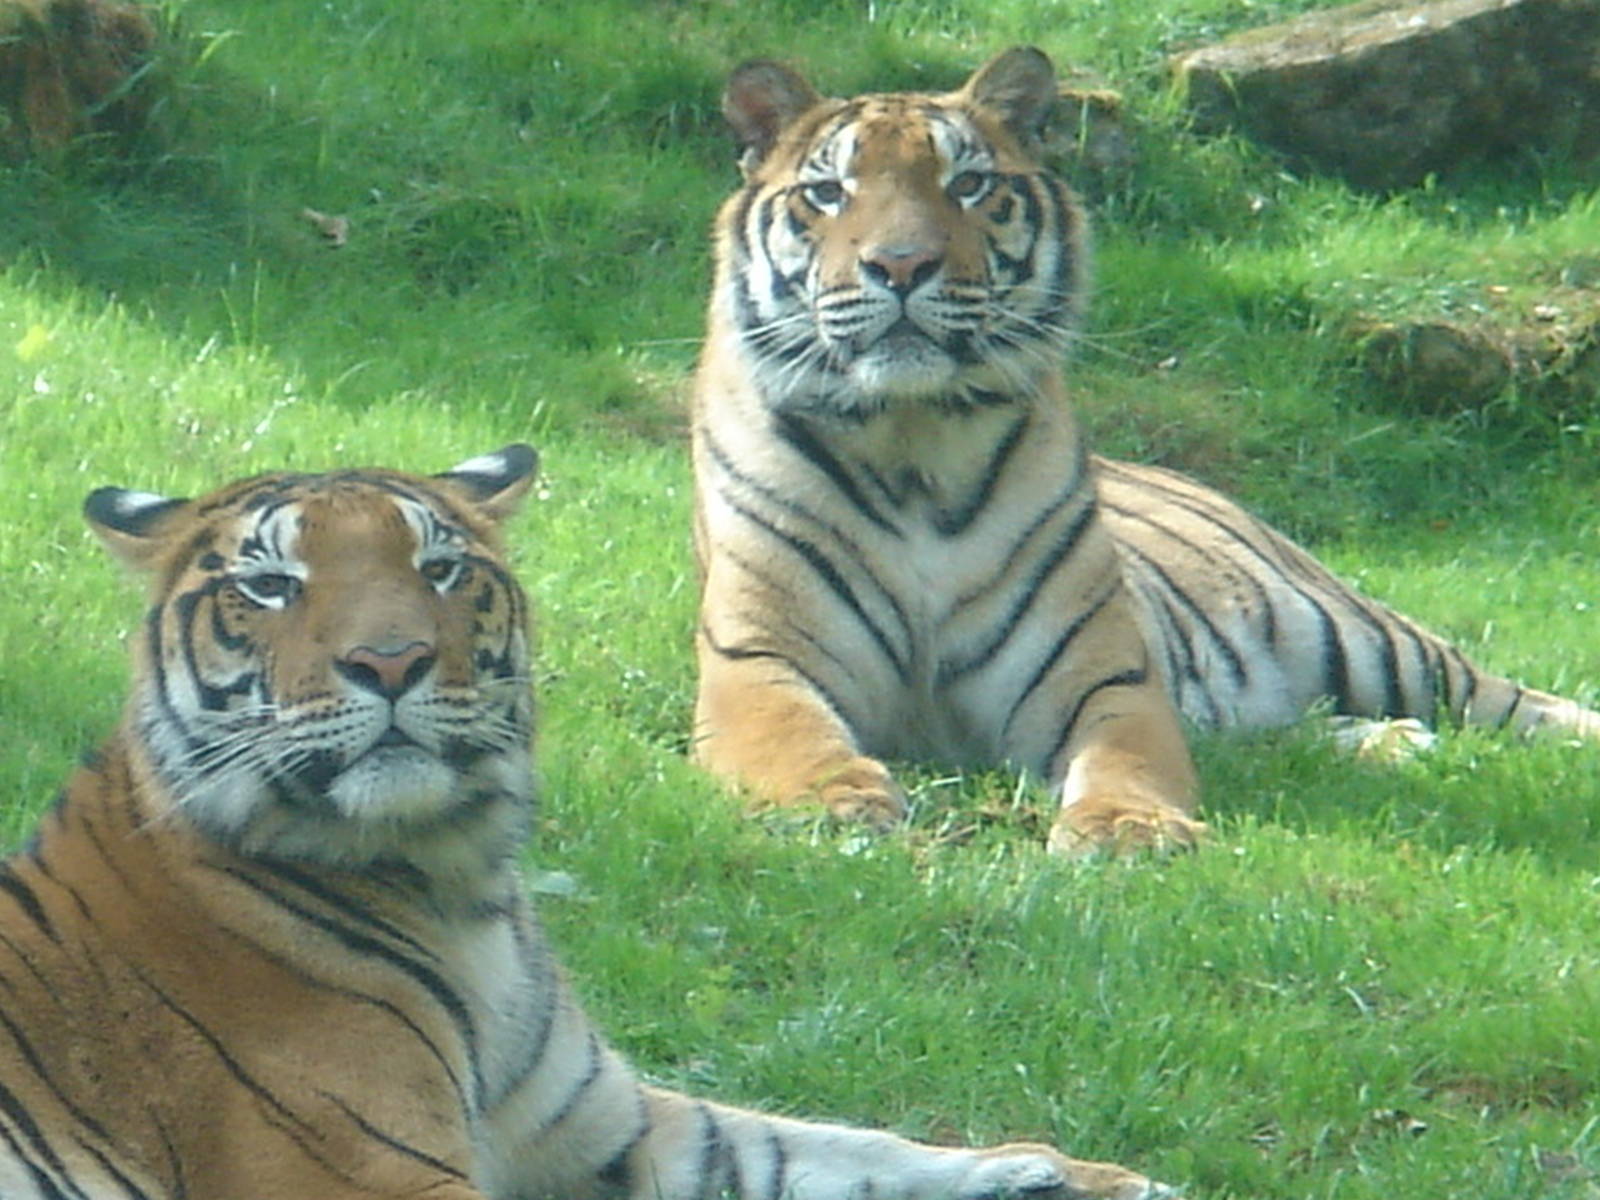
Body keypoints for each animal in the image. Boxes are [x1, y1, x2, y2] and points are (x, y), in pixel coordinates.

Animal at [0, 447, 1176, 1199]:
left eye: (438, 569)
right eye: (272, 585)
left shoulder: (610, 1127)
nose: (390, 660)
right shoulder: (366, 1174)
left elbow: (835, 1150)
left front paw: (1082, 1179)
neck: (455, 880)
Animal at [688, 46, 1600, 857]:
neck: (912, 441)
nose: (902, 264)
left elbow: (1126, 757)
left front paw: (1128, 828)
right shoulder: (760, 660)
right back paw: (1388, 742)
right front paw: (832, 802)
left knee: (1504, 696)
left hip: (1364, 636)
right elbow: (795, 741)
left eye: (969, 184)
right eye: (827, 192)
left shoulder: (1103, 677)